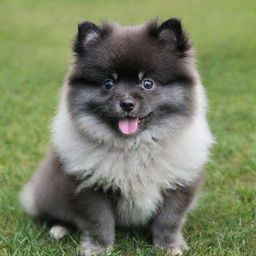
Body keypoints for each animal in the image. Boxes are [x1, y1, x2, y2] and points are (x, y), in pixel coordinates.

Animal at [20, 17, 213, 254]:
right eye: (108, 84)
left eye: (147, 83)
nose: (127, 103)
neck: (134, 147)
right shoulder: (89, 187)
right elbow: (99, 222)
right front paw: (98, 248)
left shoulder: (179, 185)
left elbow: (169, 220)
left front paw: (168, 246)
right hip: (50, 193)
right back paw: (59, 229)